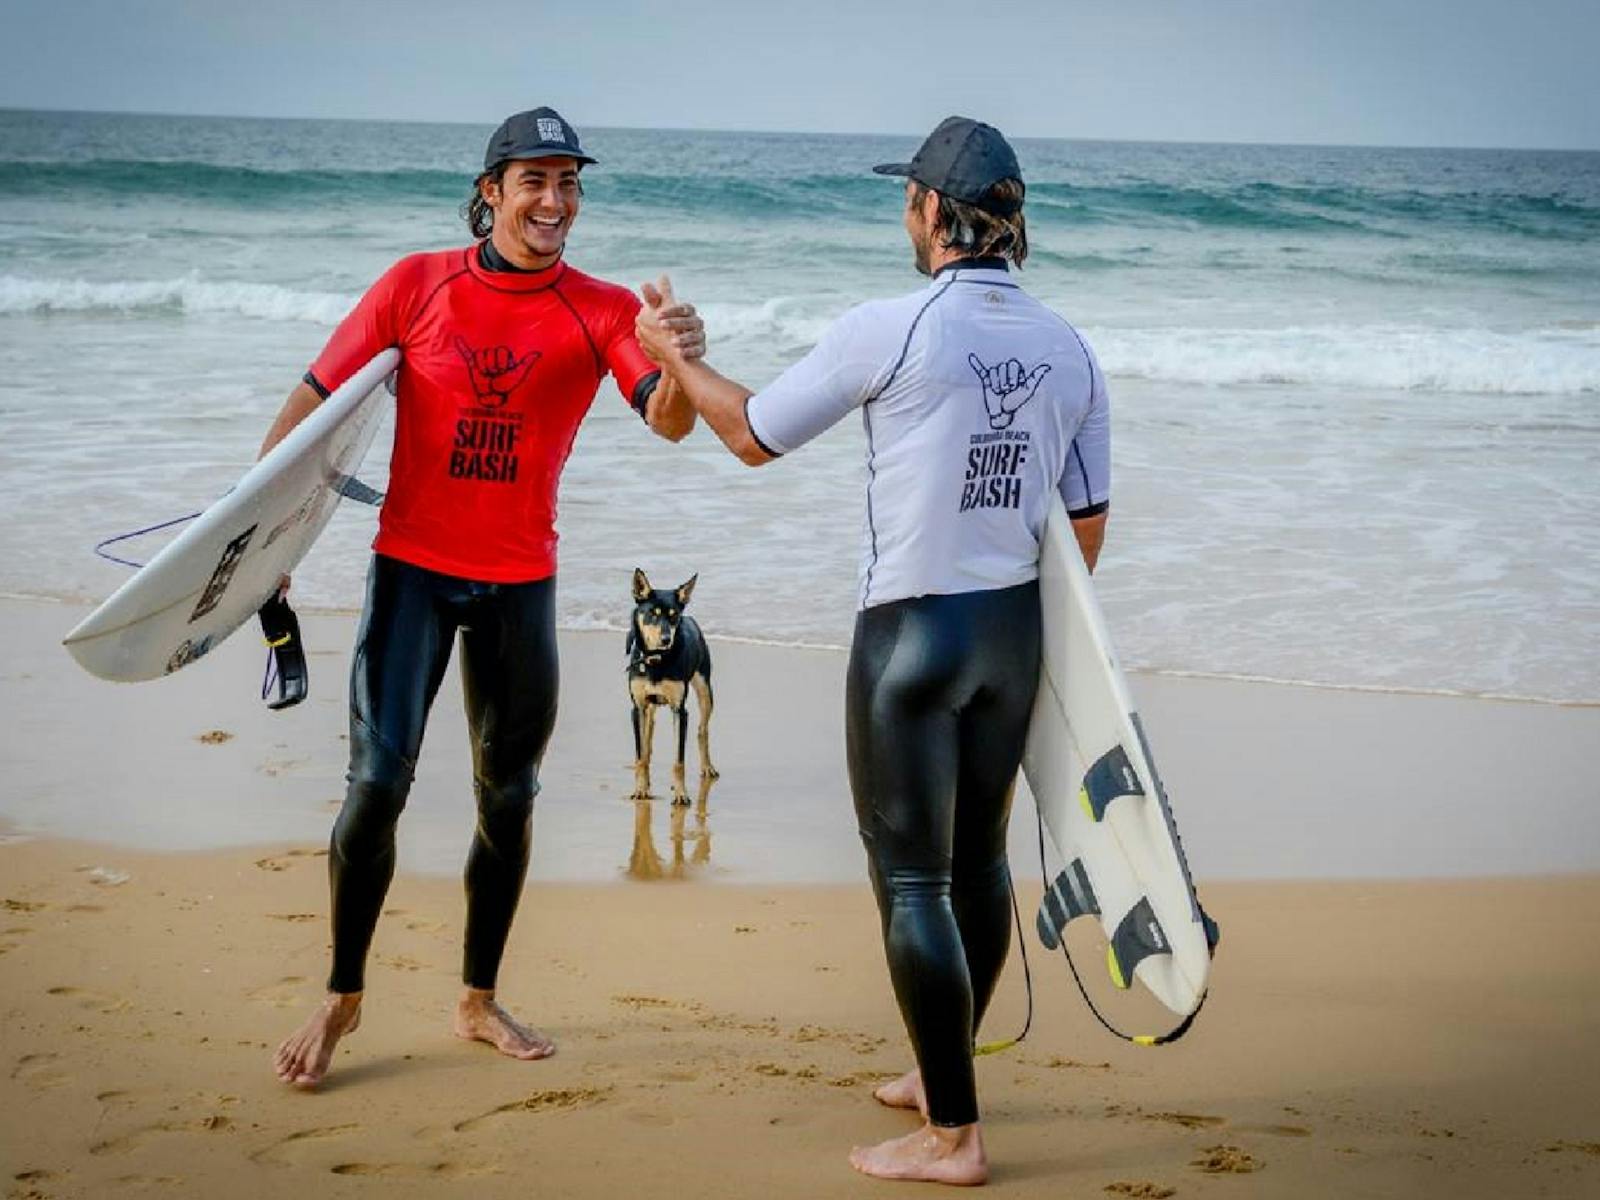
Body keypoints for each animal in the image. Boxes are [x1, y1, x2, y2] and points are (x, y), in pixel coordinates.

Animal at [624, 572, 720, 809]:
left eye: (674, 616)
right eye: (653, 613)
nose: (666, 639)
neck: (656, 660)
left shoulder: (680, 710)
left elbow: (679, 760)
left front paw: (681, 795)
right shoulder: (637, 708)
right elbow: (641, 755)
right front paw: (641, 790)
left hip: (705, 690)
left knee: (702, 730)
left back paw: (707, 767)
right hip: (649, 710)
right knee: (648, 743)